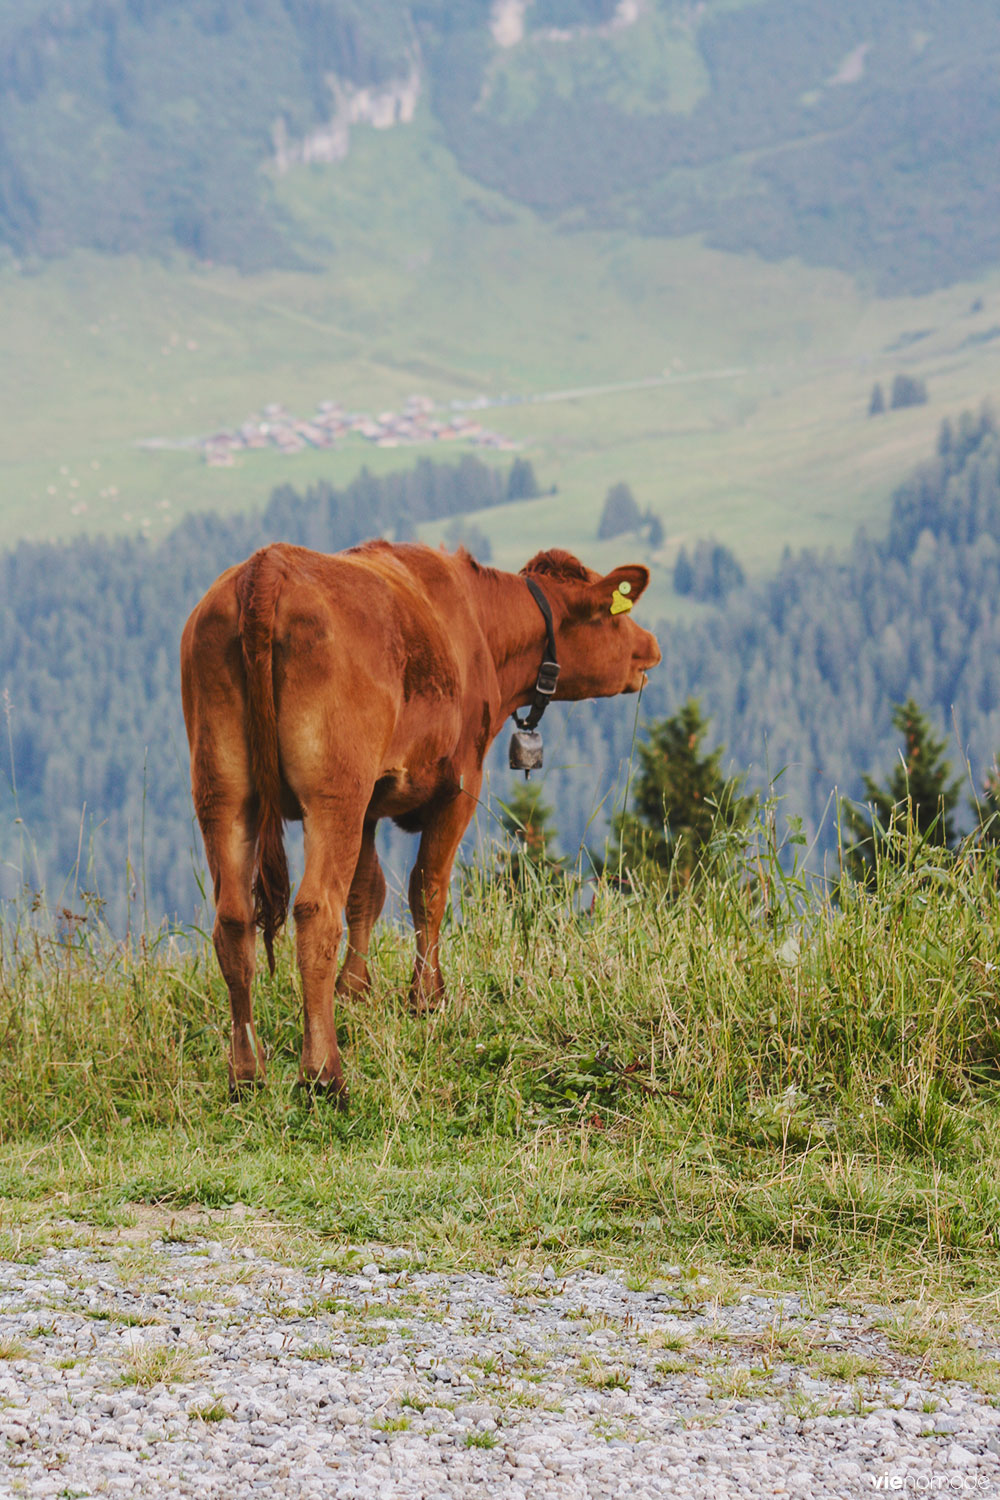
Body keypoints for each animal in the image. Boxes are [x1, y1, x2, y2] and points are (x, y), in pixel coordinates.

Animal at [180, 543, 659, 1104]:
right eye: (614, 617)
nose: (650, 647)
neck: (480, 627)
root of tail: (267, 566)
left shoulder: (369, 804)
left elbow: (367, 891)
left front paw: (355, 991)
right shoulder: (459, 783)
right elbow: (427, 888)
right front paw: (426, 996)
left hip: (223, 788)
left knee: (234, 920)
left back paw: (246, 1074)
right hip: (333, 791)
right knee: (315, 911)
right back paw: (323, 1074)